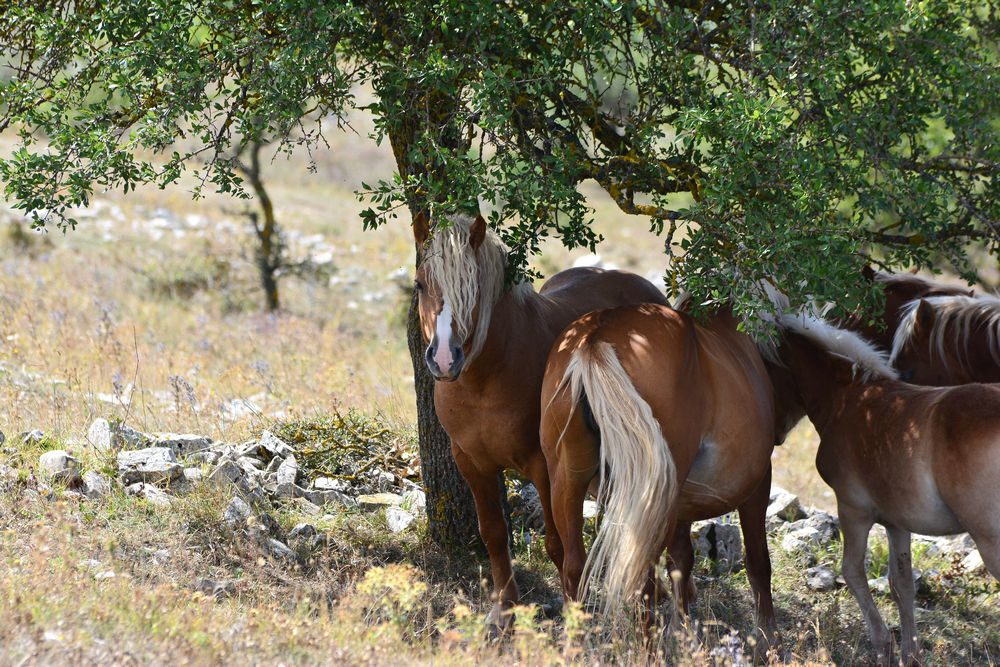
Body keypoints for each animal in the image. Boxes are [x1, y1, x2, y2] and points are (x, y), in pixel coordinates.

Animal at [410, 211, 668, 636]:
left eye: (474, 286)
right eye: (419, 283)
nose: (445, 359)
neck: (484, 380)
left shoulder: (543, 466)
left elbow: (556, 544)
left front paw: (572, 610)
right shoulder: (471, 462)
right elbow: (493, 534)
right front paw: (504, 610)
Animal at [536, 300, 776, 644]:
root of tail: (596, 336)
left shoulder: (678, 502)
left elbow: (681, 559)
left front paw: (683, 630)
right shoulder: (758, 482)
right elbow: (757, 563)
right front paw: (767, 638)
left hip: (567, 480)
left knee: (574, 569)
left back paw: (576, 645)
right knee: (640, 581)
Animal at [768, 314, 1000, 667]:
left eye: (766, 368)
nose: (776, 436)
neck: (849, 396)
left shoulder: (853, 509)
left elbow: (852, 571)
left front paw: (883, 647)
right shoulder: (896, 522)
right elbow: (901, 583)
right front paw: (910, 654)